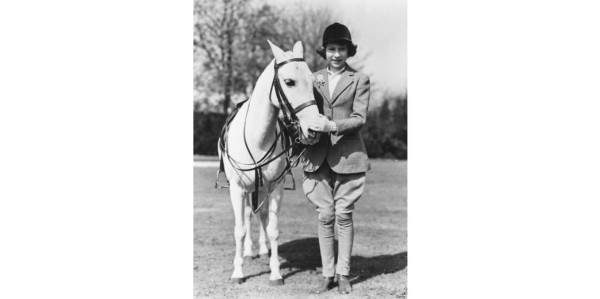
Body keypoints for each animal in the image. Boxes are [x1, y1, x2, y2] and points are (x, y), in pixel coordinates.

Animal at [219, 40, 322, 286]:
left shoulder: (275, 188)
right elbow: (240, 229)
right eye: (289, 82)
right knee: (249, 215)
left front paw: (275, 273)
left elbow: (273, 228)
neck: (257, 138)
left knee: (262, 215)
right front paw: (238, 272)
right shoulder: (237, 189)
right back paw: (249, 252)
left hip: (263, 188)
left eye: (313, 80)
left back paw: (263, 250)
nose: (314, 130)